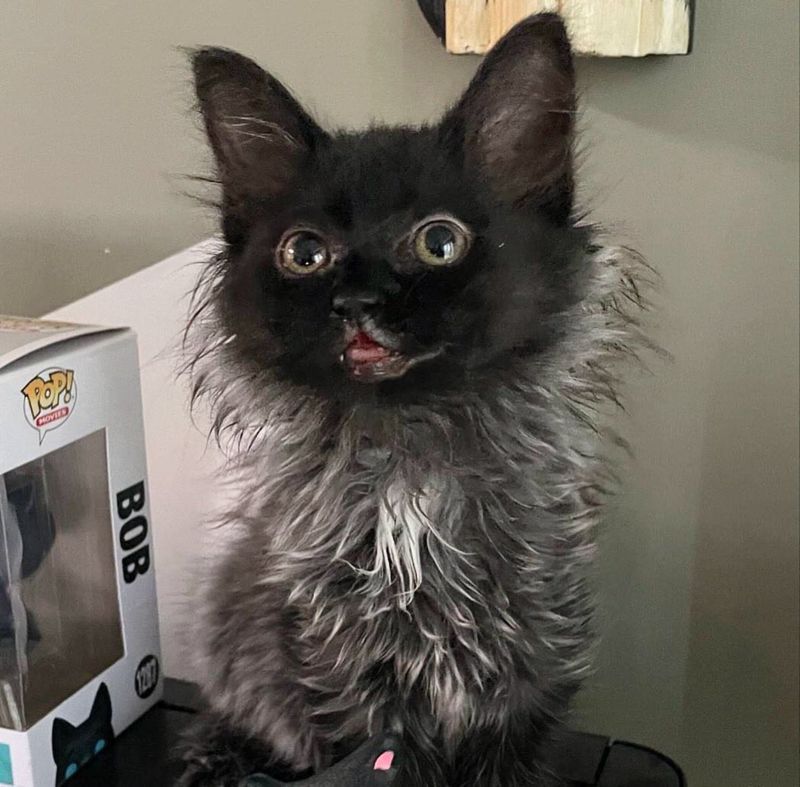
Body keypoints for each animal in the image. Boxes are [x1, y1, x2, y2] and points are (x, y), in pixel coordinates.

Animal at [180, 13, 648, 787]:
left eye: (439, 242)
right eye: (304, 254)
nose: (356, 302)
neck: (410, 455)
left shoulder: (529, 681)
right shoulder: (348, 688)